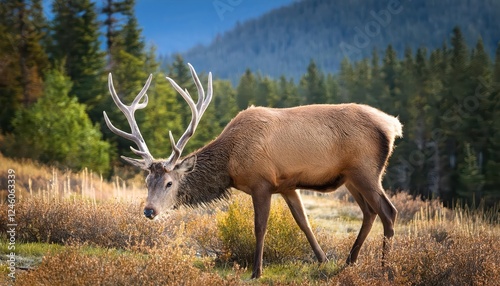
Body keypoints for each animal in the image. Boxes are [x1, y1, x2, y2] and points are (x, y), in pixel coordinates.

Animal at [104, 63, 402, 280]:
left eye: (168, 183)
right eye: (146, 180)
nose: (149, 210)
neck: (231, 164)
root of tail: (392, 125)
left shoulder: (262, 183)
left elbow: (260, 227)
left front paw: (256, 271)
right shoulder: (287, 185)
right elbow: (303, 222)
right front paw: (323, 260)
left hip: (366, 171)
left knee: (388, 211)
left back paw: (385, 268)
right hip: (351, 178)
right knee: (369, 212)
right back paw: (350, 262)